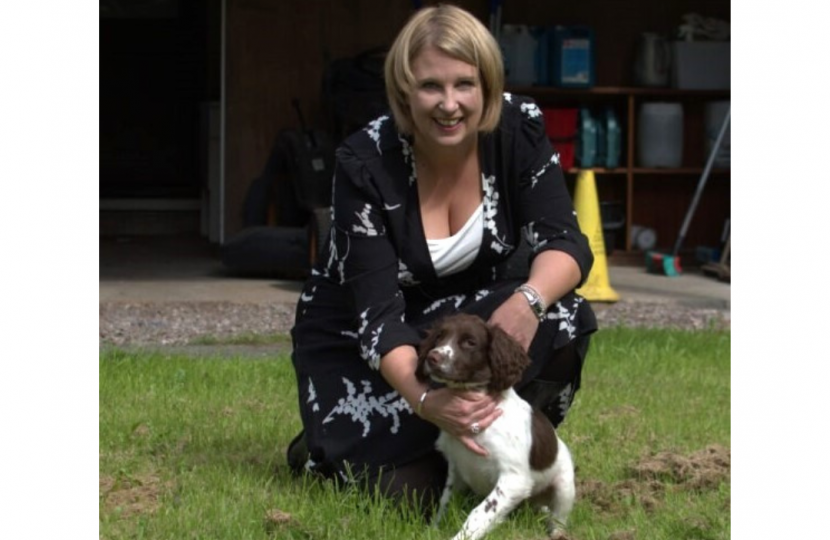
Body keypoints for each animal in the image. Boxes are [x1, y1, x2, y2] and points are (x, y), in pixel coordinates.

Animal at [420, 312, 576, 540]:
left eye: (470, 342)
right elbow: (445, 503)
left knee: (558, 518)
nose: (433, 357)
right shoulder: (456, 470)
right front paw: (433, 530)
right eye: (439, 336)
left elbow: (480, 512)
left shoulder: (514, 479)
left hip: (564, 484)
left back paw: (558, 532)